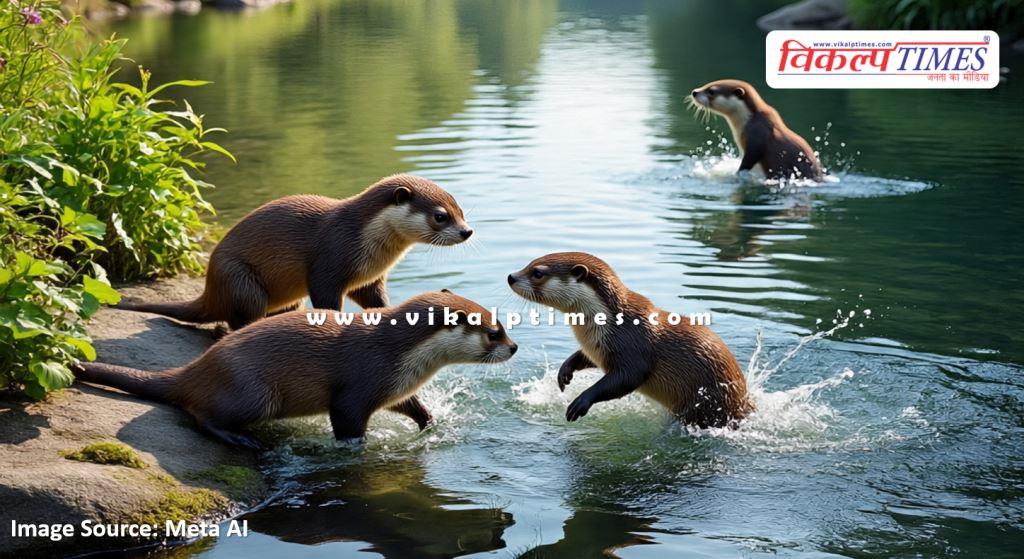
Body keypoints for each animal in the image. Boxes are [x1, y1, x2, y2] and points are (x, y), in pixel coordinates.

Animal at [75, 291, 517, 448]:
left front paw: (429, 422)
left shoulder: (394, 389)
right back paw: (241, 440)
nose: (514, 347)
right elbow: (347, 421)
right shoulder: (359, 386)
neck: (401, 356)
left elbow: (412, 407)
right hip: (254, 392)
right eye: (494, 332)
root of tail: (197, 367)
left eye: (502, 324)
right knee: (200, 414)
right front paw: (356, 448)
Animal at [117, 174, 472, 330]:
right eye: (441, 216)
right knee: (239, 317)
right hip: (240, 280)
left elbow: (375, 300)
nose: (467, 231)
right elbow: (326, 298)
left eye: (461, 210)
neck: (368, 245)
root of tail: (209, 288)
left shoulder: (371, 280)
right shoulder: (329, 264)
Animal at [508, 252, 751, 427]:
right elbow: (585, 357)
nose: (511, 276)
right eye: (529, 263)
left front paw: (581, 401)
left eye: (537, 273)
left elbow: (629, 377)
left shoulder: (633, 345)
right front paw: (565, 372)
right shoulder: (598, 348)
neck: (610, 322)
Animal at [690, 79, 824, 181]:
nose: (694, 92)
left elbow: (751, 157)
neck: (751, 120)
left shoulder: (757, 137)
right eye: (707, 84)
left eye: (711, 91)